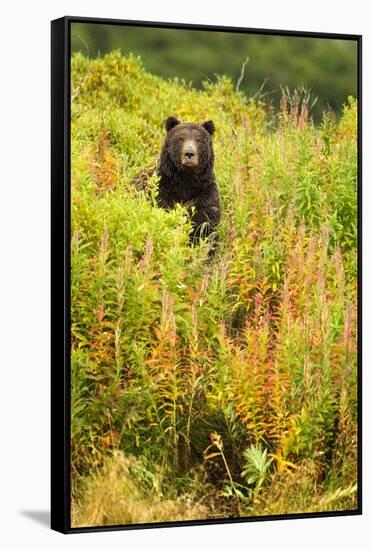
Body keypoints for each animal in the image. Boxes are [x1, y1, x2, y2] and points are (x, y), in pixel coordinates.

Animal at [132, 117, 221, 247]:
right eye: (181, 138)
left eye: (199, 140)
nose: (189, 153)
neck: (185, 180)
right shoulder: (163, 189)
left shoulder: (204, 192)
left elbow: (205, 226)